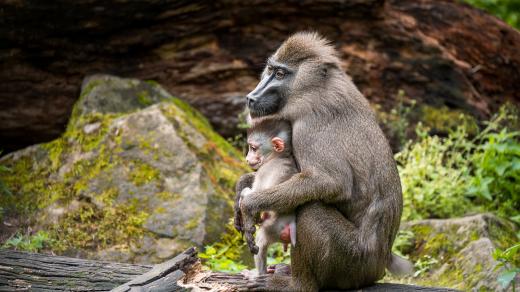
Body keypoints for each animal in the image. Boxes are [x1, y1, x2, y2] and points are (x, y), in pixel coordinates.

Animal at [240, 120, 296, 274]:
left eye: (253, 148)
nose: (247, 159)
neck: (279, 157)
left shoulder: (264, 171)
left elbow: (254, 196)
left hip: (275, 228)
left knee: (261, 240)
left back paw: (259, 274)